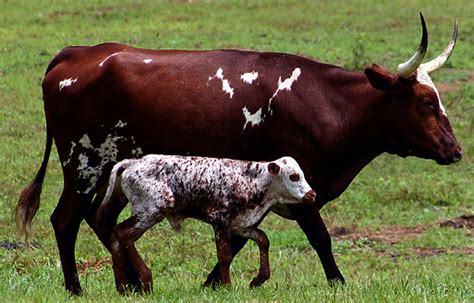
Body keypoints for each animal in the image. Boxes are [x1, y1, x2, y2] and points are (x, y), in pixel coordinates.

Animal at [96, 156, 316, 294]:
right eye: (294, 176)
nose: (311, 194)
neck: (253, 179)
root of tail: (133, 162)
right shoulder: (219, 220)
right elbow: (224, 255)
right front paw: (227, 287)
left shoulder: (241, 225)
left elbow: (263, 239)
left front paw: (258, 280)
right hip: (151, 210)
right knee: (123, 234)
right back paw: (146, 279)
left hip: (145, 214)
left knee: (116, 237)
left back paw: (122, 288)